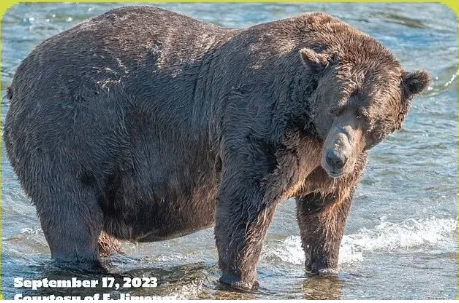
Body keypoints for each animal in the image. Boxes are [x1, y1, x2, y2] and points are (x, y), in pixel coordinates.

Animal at [3, 5, 430, 292]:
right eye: (336, 105)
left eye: (367, 114)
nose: (337, 157)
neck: (307, 120)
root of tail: (21, 71)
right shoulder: (261, 127)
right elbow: (245, 207)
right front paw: (243, 279)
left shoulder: (325, 163)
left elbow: (326, 211)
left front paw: (326, 267)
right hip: (71, 130)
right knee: (70, 211)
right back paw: (87, 266)